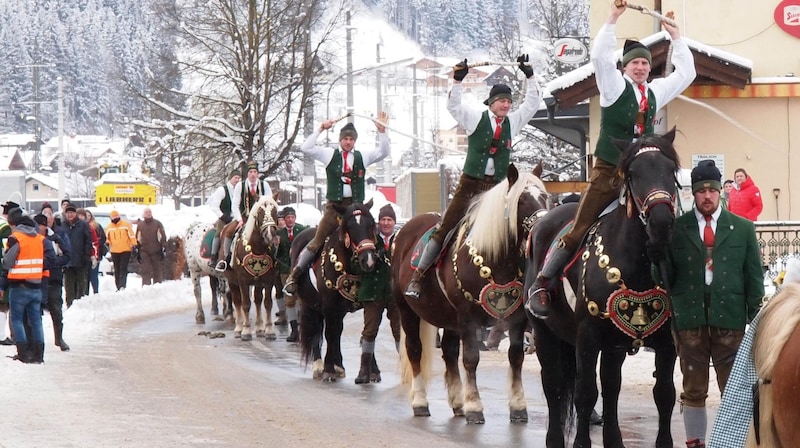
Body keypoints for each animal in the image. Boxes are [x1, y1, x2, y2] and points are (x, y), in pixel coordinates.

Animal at [222, 196, 282, 340]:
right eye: (260, 213)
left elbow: (267, 303)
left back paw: (259, 328)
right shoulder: (243, 281)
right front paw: (246, 331)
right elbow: (245, 304)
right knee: (237, 301)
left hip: (258, 282)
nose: (270, 235)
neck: (257, 247)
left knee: (258, 300)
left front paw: (269, 330)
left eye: (275, 211)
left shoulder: (268, 280)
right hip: (232, 282)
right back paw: (239, 327)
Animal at [294, 200, 382, 382]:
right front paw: (328, 369)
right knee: (317, 332)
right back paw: (319, 366)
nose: (369, 260)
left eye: (371, 224)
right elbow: (329, 333)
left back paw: (339, 365)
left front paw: (373, 370)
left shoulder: (367, 302)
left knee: (337, 332)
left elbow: (368, 331)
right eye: (350, 227)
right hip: (309, 305)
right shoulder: (329, 305)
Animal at [390, 164, 548, 424]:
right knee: (415, 350)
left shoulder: (516, 320)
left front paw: (518, 406)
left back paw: (457, 403)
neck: (496, 259)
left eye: (544, 197)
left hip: (448, 318)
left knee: (449, 352)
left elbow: (516, 356)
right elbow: (471, 359)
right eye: (522, 200)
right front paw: (475, 406)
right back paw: (421, 402)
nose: (543, 225)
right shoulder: (468, 319)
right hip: (406, 310)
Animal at [528, 128, 680, 446]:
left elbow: (664, 395)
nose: (662, 223)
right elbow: (585, 394)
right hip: (544, 333)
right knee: (554, 386)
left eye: (671, 170)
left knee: (611, 387)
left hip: (614, 345)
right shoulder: (587, 337)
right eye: (633, 173)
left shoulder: (666, 342)